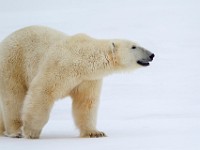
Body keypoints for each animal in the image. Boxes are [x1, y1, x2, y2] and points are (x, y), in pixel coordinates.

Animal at [0, 25, 155, 138]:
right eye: (134, 46)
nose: (152, 54)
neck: (83, 58)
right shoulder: (60, 66)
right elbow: (43, 92)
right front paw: (31, 131)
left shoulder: (87, 79)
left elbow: (86, 102)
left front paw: (95, 132)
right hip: (13, 64)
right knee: (13, 97)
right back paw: (15, 131)